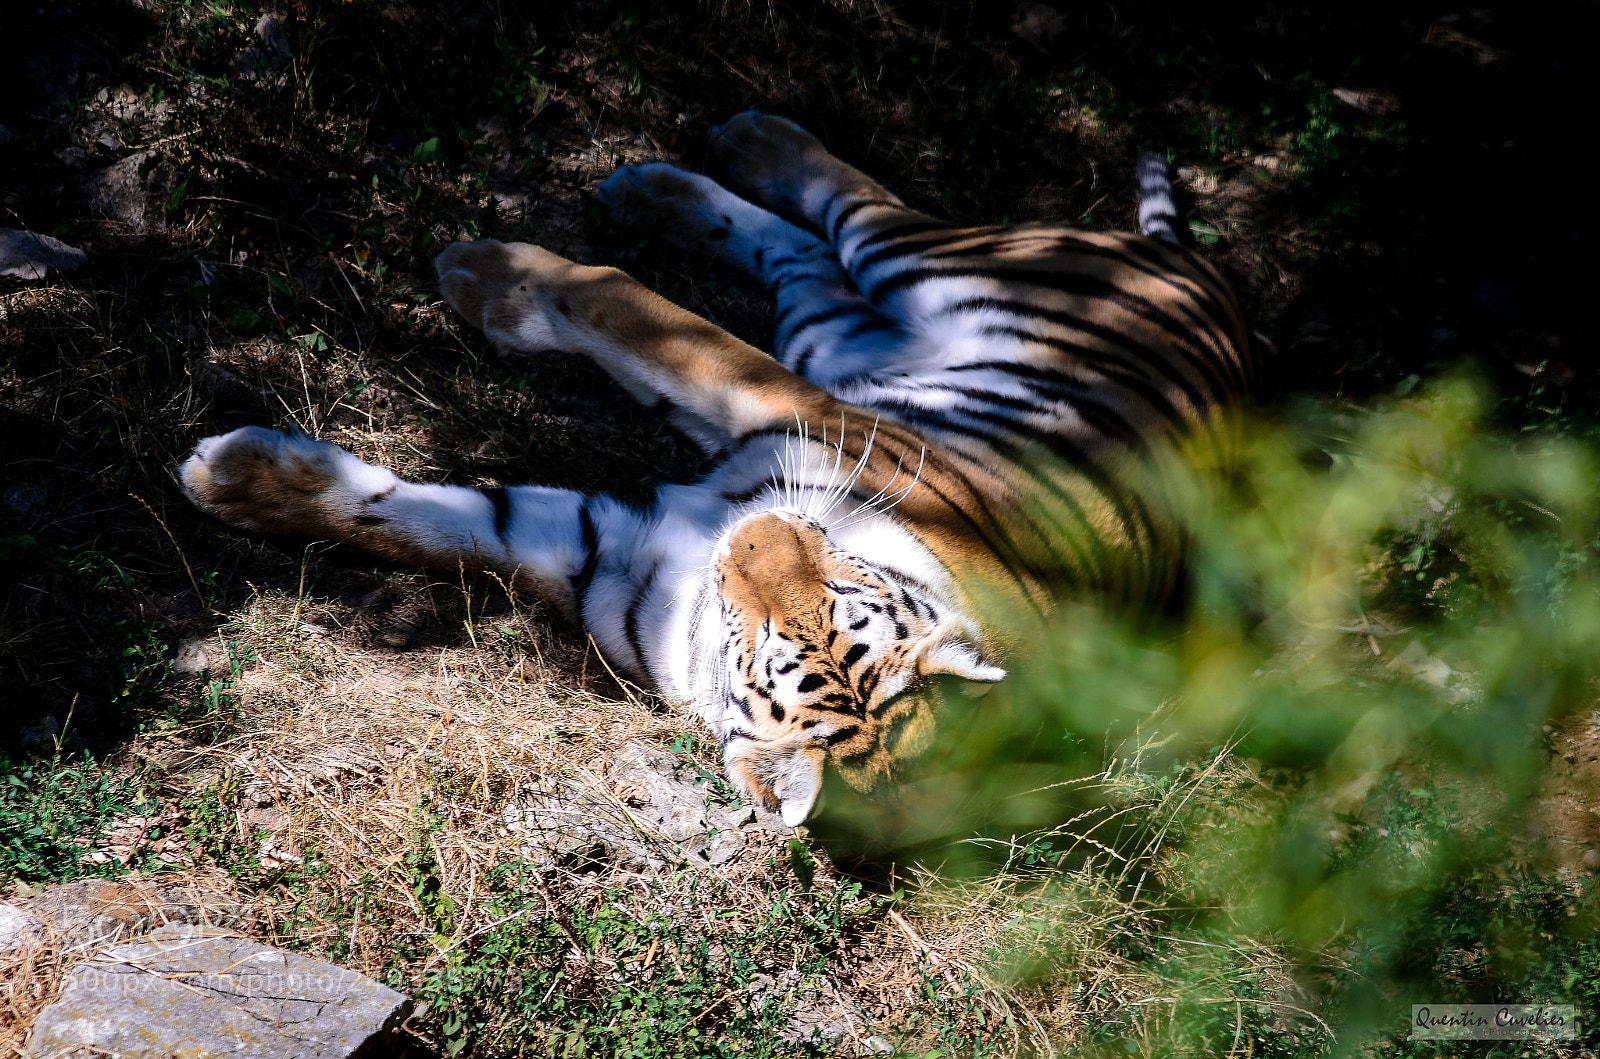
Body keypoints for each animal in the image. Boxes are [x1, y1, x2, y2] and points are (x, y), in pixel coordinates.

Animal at [179, 112, 1257, 827]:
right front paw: (236, 481)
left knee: (840, 223)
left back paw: (692, 163)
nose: (756, 537)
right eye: (842, 596)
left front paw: (479, 273)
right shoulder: (783, 410)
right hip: (862, 327)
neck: (688, 579)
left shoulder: (600, 546)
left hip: (893, 292)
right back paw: (696, 159)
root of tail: (1205, 278)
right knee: (826, 219)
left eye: (789, 635)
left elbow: (464, 507)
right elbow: (616, 317)